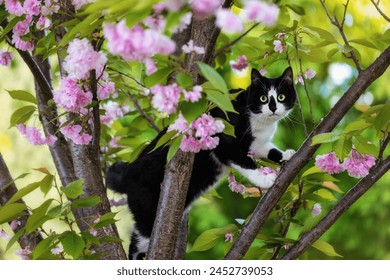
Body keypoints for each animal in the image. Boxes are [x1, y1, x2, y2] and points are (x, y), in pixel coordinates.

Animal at [106, 66, 296, 260]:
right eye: (263, 98)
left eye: (281, 97)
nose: (273, 108)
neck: (260, 122)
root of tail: (127, 174)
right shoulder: (226, 141)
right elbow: (244, 161)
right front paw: (264, 179)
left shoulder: (257, 144)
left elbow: (268, 149)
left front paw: (286, 155)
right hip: (148, 207)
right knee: (141, 237)